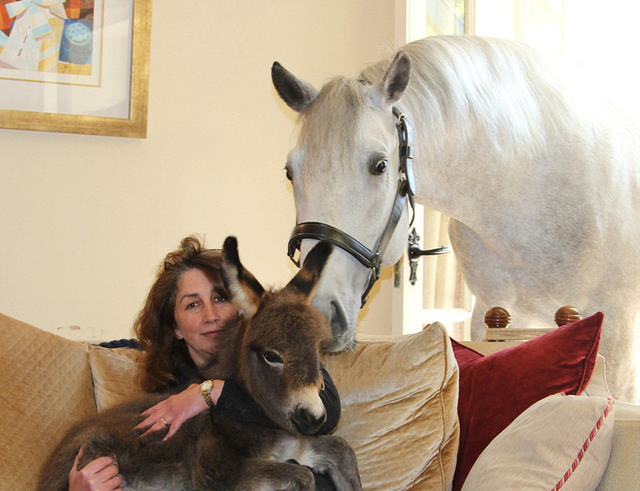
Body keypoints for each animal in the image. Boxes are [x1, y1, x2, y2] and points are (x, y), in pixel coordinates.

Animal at [37, 236, 362, 490]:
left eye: (317, 350)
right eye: (271, 355)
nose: (314, 418)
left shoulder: (298, 445)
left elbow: (342, 450)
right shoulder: (216, 474)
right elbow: (303, 477)